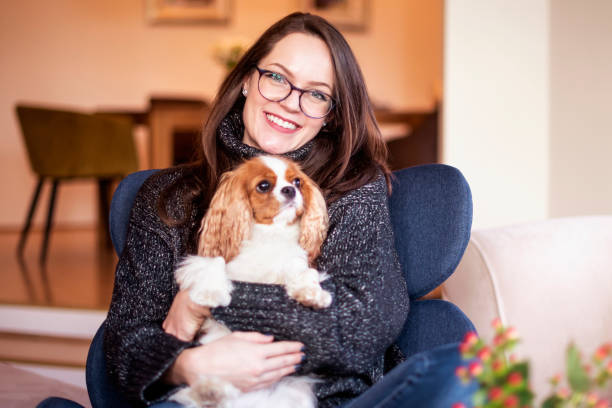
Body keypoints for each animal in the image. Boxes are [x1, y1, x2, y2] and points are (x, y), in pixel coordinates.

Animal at [170, 155, 332, 408]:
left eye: (297, 181)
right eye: (263, 186)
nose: (290, 190)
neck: (270, 234)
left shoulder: (293, 261)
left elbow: (302, 273)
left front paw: (312, 294)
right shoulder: (207, 260)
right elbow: (214, 263)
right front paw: (211, 294)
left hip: (296, 391)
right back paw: (210, 390)